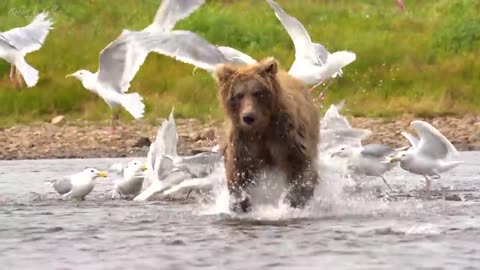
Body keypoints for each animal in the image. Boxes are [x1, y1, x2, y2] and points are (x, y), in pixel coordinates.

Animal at [216, 58, 320, 212]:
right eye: (239, 95)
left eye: (258, 93)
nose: (248, 117)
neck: (261, 129)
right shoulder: (244, 141)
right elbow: (239, 171)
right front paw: (240, 202)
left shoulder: (285, 136)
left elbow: (299, 165)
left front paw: (294, 200)